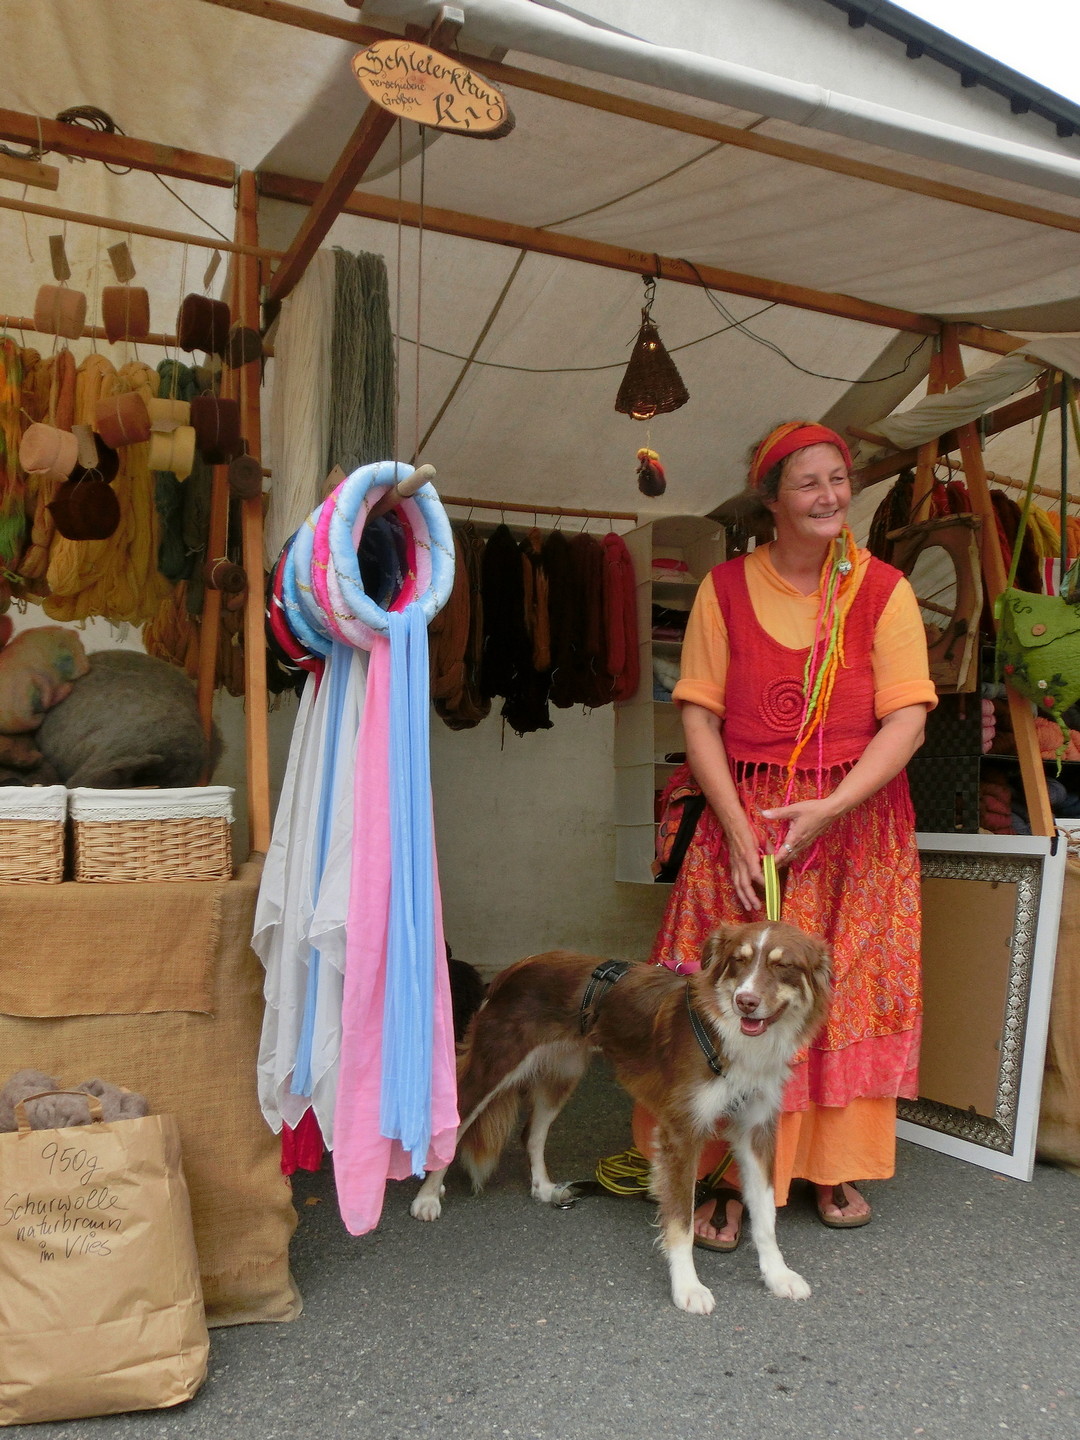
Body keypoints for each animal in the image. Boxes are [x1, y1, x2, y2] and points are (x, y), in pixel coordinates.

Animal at [408, 921, 835, 1319]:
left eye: (784, 967)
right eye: (739, 961)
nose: (745, 1001)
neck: (731, 1036)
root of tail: (516, 967)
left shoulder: (756, 1130)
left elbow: (765, 1215)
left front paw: (778, 1275)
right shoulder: (681, 1132)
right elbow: (681, 1222)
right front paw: (687, 1287)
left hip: (562, 1074)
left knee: (532, 1133)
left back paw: (544, 1187)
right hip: (494, 1067)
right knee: (454, 1126)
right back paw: (427, 1196)